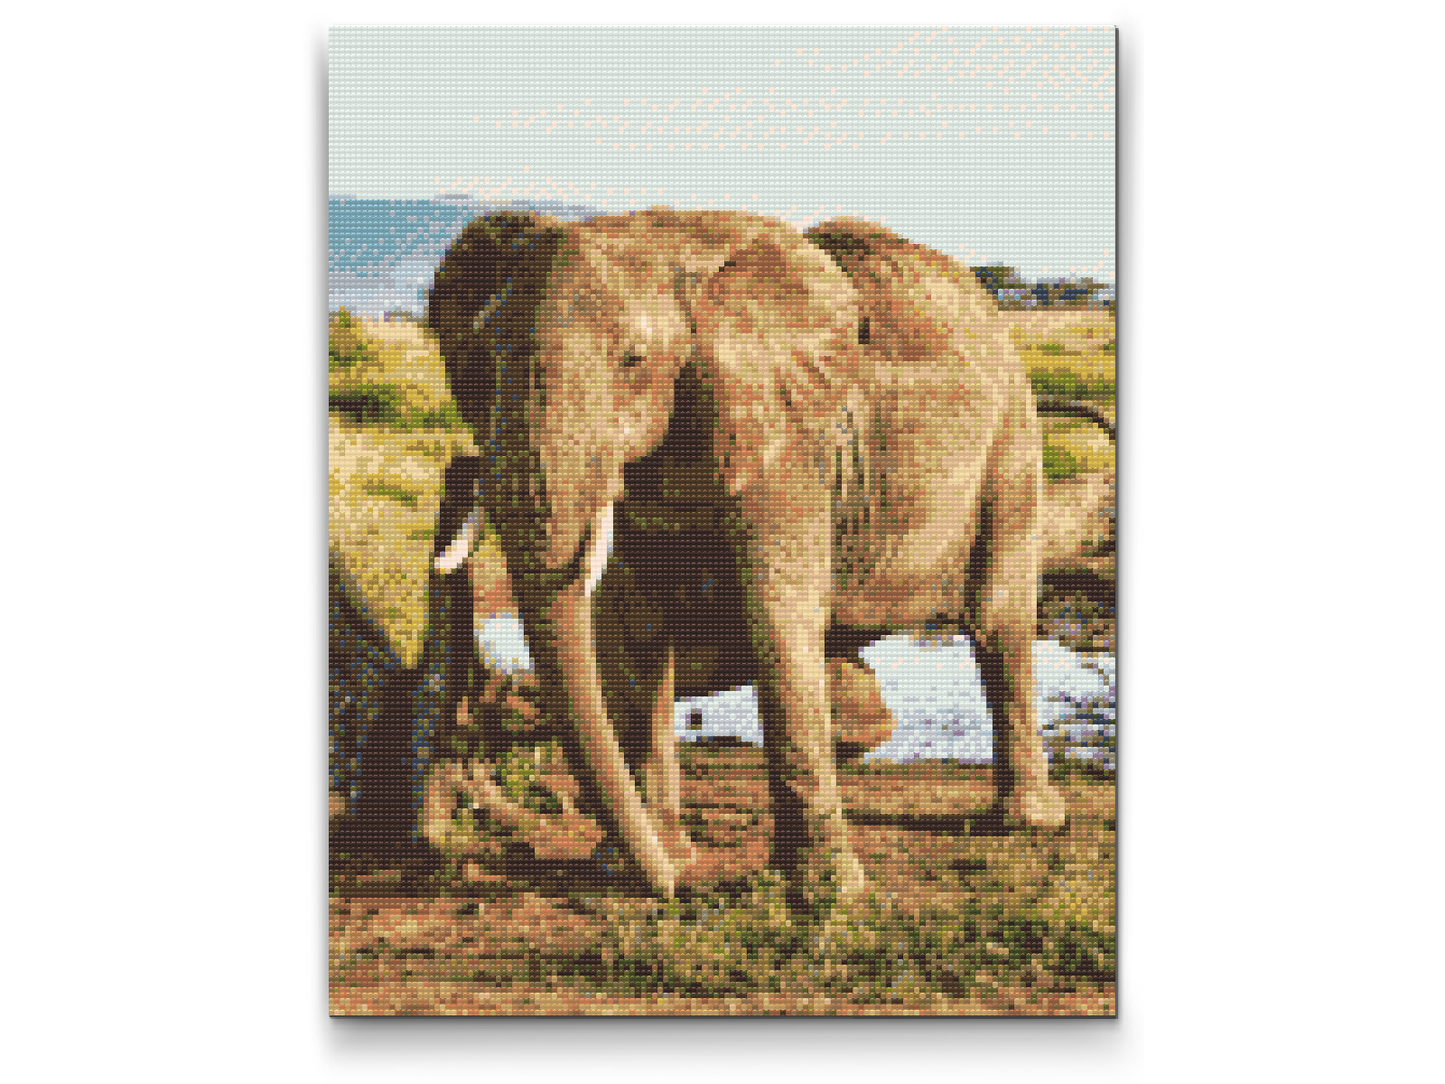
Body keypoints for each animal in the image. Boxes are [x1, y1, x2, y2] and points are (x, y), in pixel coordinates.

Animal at [425, 208, 1066, 905]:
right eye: (480, 361)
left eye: (633, 360)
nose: (673, 888)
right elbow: (630, 630)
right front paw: (638, 862)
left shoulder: (790, 442)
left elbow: (776, 616)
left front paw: (827, 898)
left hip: (1013, 433)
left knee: (998, 621)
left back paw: (1025, 821)